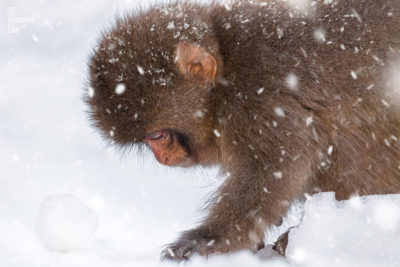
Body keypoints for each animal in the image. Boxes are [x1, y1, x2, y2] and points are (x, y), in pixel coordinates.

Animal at [85, 0, 400, 260]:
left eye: (156, 136)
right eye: (149, 140)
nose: (161, 157)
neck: (226, 70)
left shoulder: (260, 100)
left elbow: (270, 172)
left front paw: (205, 241)